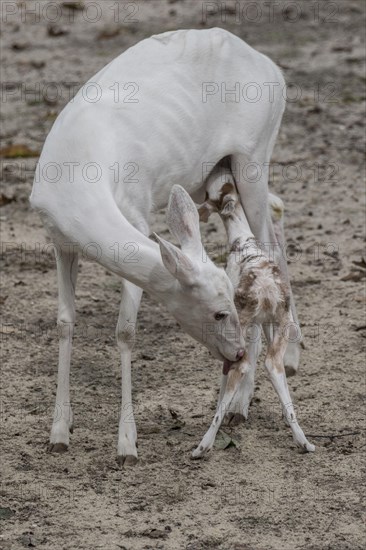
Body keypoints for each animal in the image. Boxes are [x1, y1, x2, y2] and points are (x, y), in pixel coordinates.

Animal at [31, 27, 310, 466]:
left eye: (233, 306)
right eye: (219, 312)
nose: (235, 354)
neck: (75, 181)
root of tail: (272, 67)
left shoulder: (138, 218)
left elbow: (126, 330)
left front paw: (127, 445)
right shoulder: (59, 240)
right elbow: (64, 322)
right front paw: (59, 432)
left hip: (255, 155)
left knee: (269, 243)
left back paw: (249, 399)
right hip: (211, 178)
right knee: (275, 216)